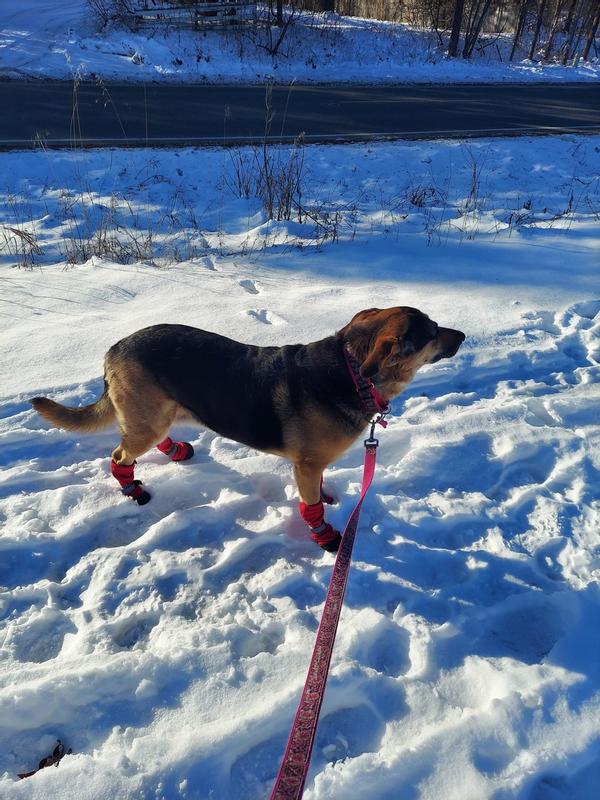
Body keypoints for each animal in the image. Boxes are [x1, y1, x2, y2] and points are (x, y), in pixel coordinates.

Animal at [30, 306, 466, 552]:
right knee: (119, 456)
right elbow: (309, 507)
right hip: (144, 422)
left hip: (155, 414)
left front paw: (326, 497)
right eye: (432, 331)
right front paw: (324, 536)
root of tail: (113, 349)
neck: (353, 372)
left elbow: (317, 489)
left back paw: (176, 450)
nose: (463, 334)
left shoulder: (312, 464)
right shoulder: (306, 465)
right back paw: (133, 489)